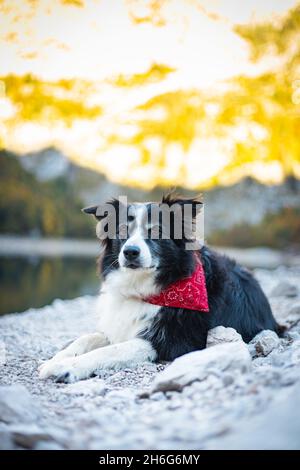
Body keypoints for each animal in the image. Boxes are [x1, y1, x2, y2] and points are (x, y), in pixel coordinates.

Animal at [39, 194, 278, 382]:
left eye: (157, 231)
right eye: (122, 230)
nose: (130, 252)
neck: (143, 288)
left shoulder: (172, 342)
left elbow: (109, 351)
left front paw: (66, 367)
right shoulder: (119, 326)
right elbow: (86, 338)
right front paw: (55, 360)